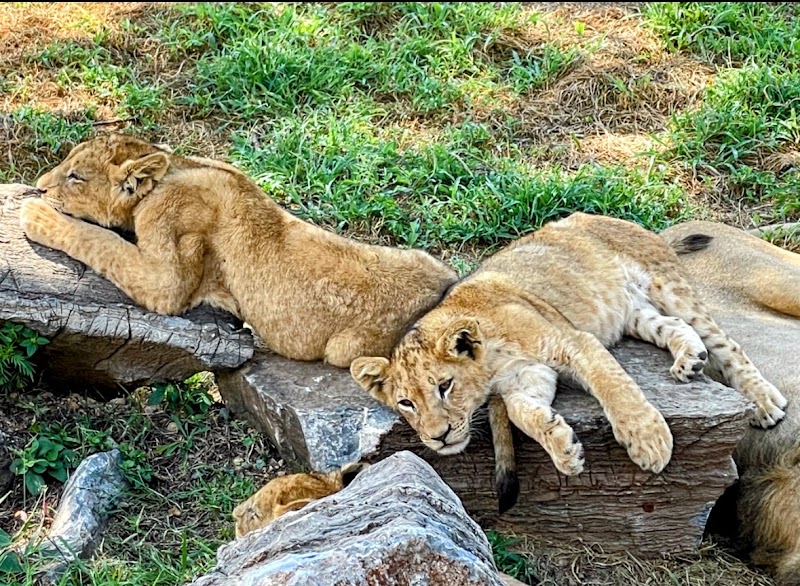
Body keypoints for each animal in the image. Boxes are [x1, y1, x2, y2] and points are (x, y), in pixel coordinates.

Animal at [18, 134, 456, 368]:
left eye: (76, 177)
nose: (38, 185)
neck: (173, 171)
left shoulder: (169, 282)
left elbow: (102, 242)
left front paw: (37, 215)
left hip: (346, 350)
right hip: (421, 255)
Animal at [351, 212, 787, 512]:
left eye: (445, 386)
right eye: (406, 403)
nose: (438, 438)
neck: (491, 369)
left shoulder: (573, 341)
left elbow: (615, 387)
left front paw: (648, 441)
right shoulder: (528, 377)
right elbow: (520, 411)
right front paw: (564, 447)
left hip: (670, 287)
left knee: (727, 344)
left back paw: (765, 404)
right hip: (631, 313)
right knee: (673, 326)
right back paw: (690, 360)